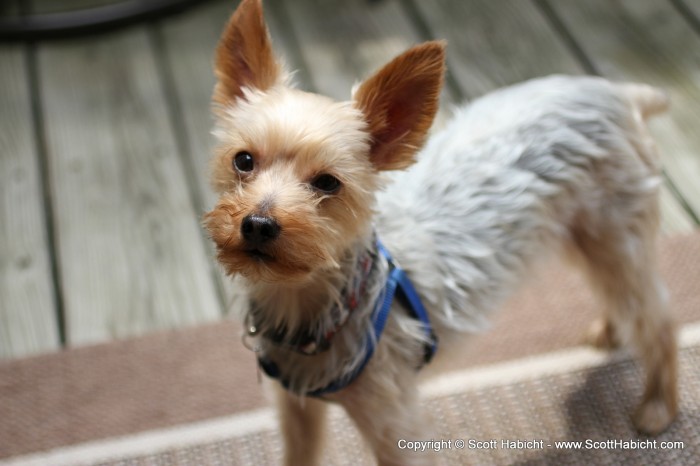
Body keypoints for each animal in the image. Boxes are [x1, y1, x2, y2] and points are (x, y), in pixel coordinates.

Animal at [204, 1, 680, 464]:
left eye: (327, 183)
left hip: (616, 235)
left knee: (656, 316)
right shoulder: (294, 407)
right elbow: (297, 454)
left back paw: (658, 407)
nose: (258, 224)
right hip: (588, 239)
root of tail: (615, 92)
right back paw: (612, 332)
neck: (306, 303)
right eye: (243, 160)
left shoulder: (391, 420)